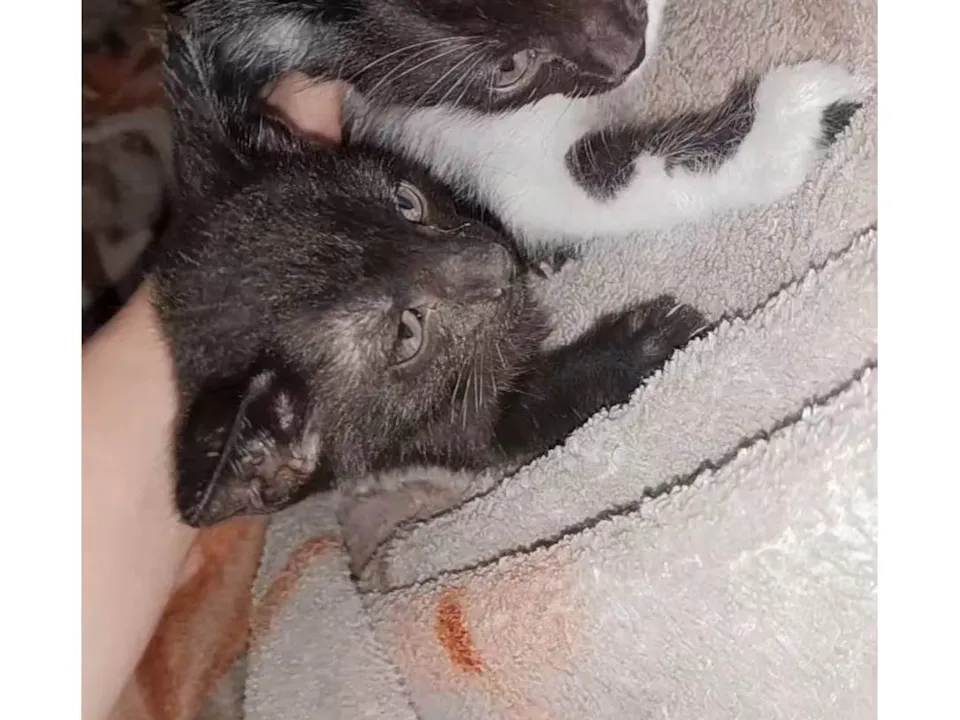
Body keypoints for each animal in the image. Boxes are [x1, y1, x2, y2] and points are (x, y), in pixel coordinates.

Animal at [154, 28, 709, 530]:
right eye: (406, 333)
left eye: (408, 203)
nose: (496, 261)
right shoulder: (456, 435)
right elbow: (536, 410)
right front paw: (640, 343)